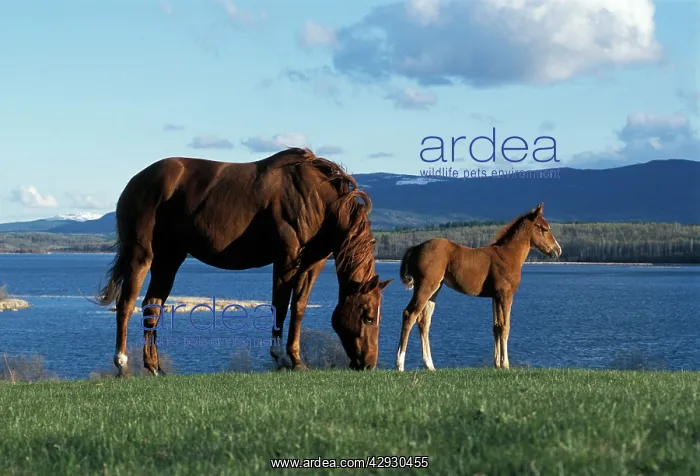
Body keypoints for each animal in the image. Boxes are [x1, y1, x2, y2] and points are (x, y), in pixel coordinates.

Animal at [93, 147, 392, 377]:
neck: (317, 198)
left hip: (169, 259)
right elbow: (280, 307)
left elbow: (298, 309)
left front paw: (296, 360)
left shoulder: (313, 264)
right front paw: (280, 357)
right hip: (141, 255)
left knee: (151, 306)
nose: (369, 364)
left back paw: (154, 367)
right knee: (126, 305)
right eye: (367, 317)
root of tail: (136, 181)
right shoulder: (286, 260)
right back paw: (123, 365)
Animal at [395, 203, 561, 371]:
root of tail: (415, 248)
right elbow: (505, 327)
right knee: (409, 314)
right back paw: (400, 364)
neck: (508, 255)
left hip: (435, 289)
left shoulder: (495, 296)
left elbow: (496, 327)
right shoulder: (505, 294)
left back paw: (429, 365)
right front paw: (505, 364)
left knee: (424, 321)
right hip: (425, 286)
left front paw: (497, 363)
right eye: (545, 229)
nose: (558, 250)